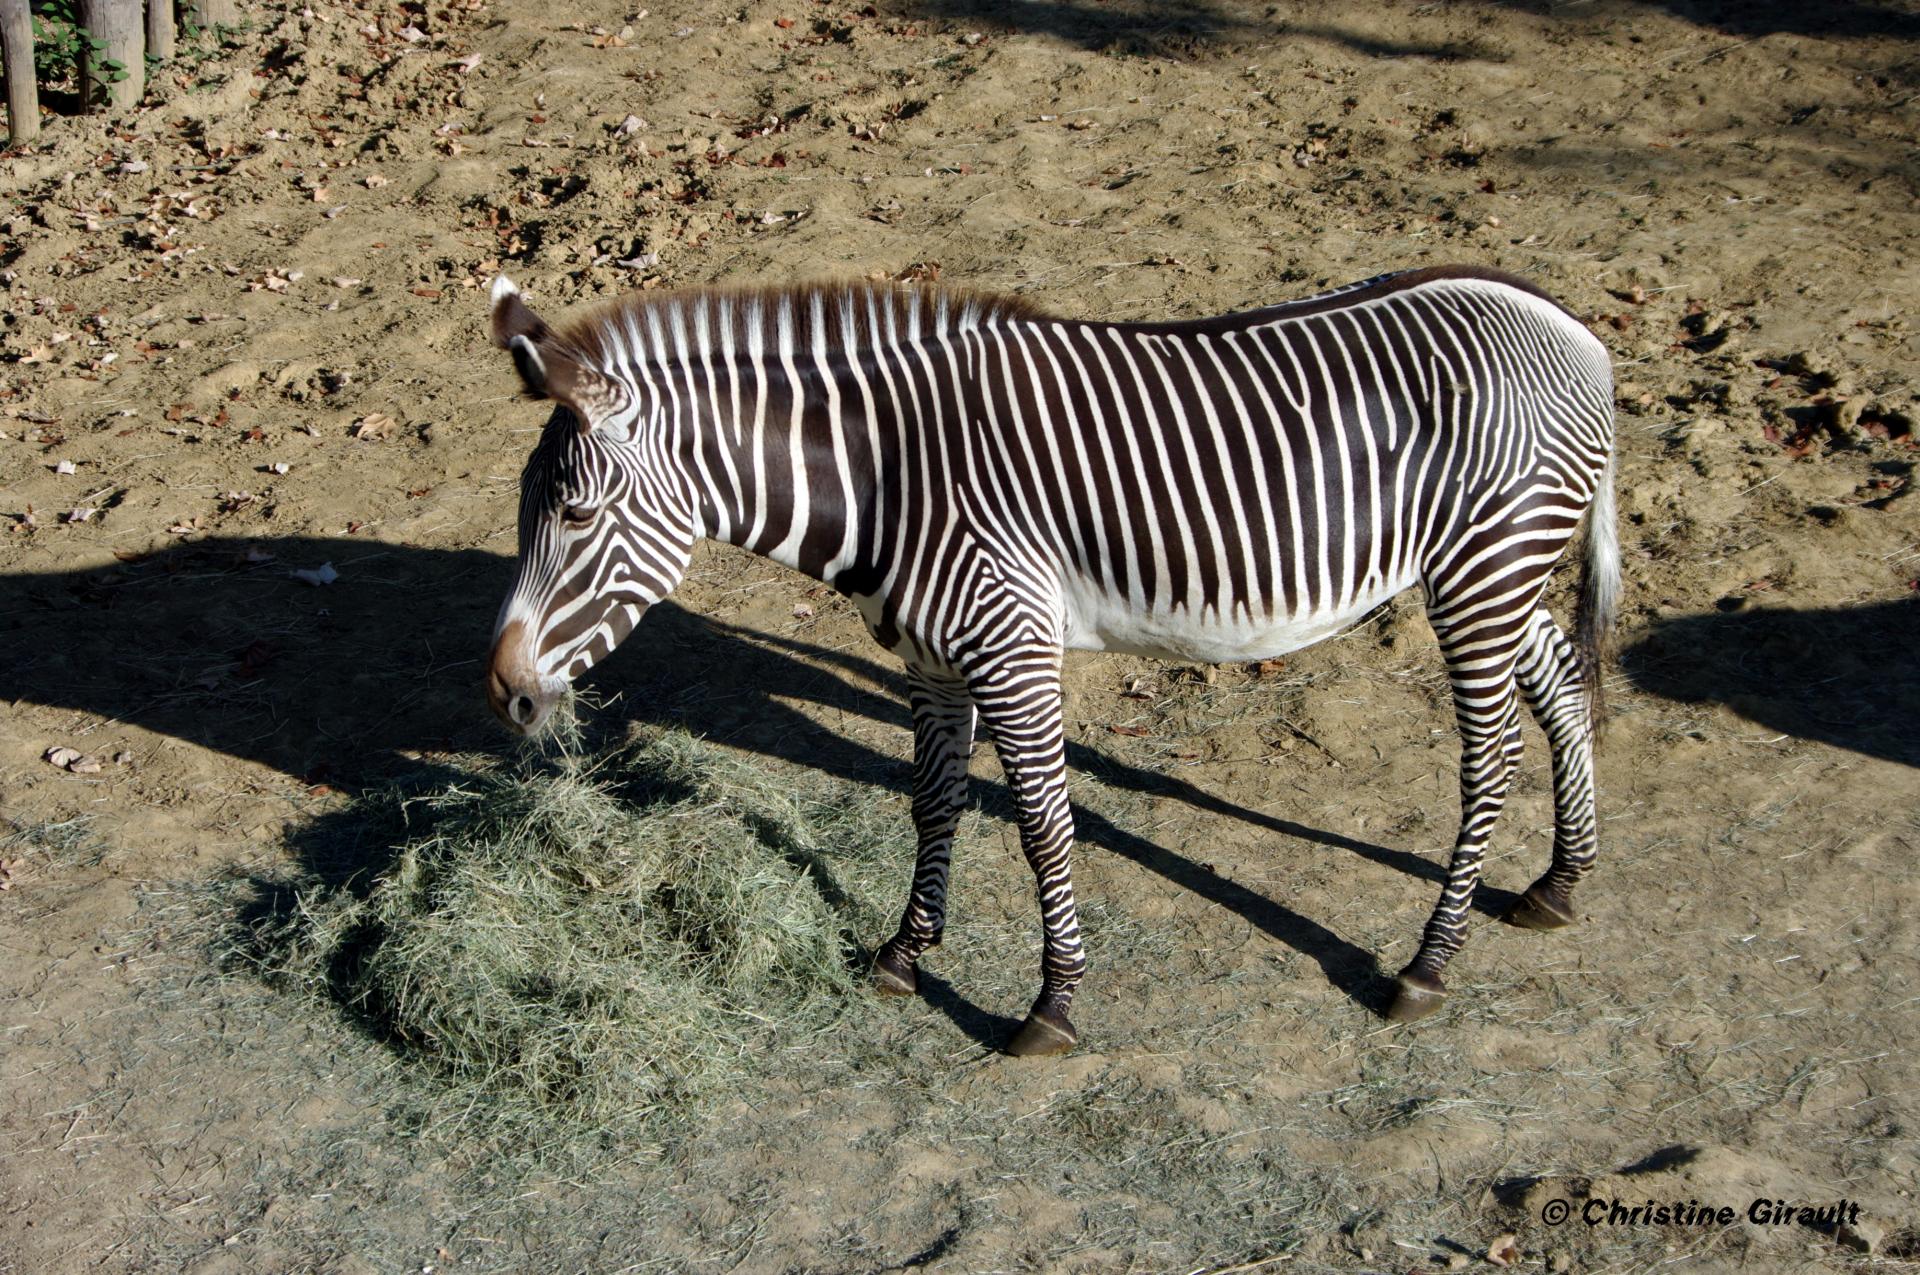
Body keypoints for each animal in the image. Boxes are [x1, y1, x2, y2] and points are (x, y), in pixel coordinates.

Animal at [483, 263, 1620, 1052]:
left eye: (575, 516)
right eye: (528, 511)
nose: (504, 694)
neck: (891, 477)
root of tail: (1564, 321)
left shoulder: (1011, 646)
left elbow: (1040, 825)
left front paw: (1054, 1003)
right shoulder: (933, 659)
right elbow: (934, 802)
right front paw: (905, 953)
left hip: (1483, 568)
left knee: (1490, 760)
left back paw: (1429, 962)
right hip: (1500, 572)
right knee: (1564, 685)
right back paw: (1561, 882)